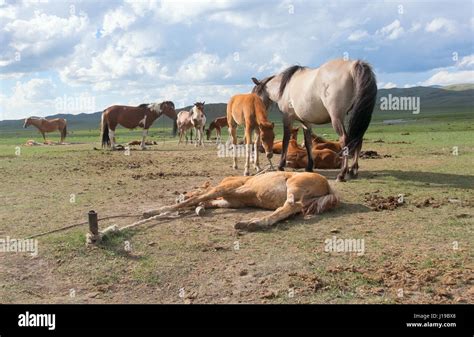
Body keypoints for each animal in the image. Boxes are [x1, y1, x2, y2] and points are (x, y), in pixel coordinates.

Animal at [143, 171, 338, 231]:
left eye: (195, 186)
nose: (181, 193)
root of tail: (328, 185)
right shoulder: (230, 202)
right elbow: (205, 202)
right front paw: (199, 209)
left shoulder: (227, 189)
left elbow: (198, 198)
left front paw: (154, 211)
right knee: (290, 210)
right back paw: (253, 223)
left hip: (293, 186)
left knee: (289, 206)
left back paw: (252, 223)